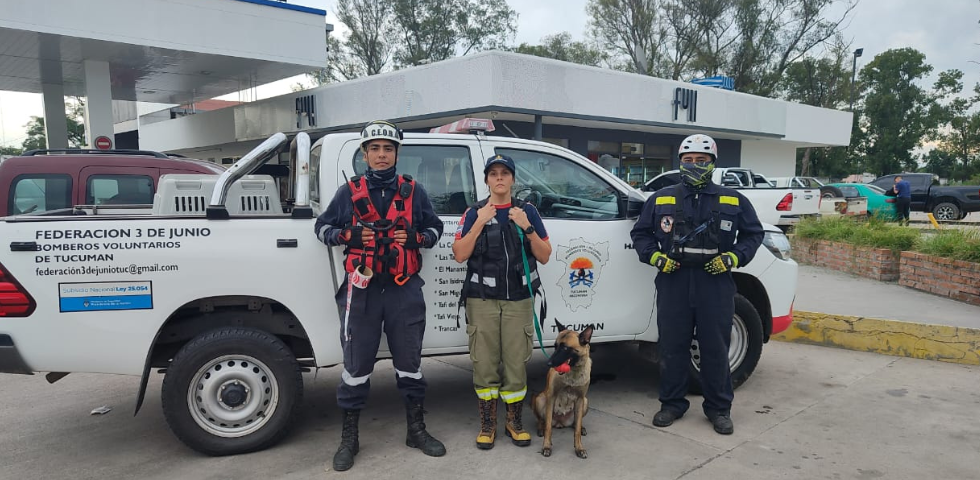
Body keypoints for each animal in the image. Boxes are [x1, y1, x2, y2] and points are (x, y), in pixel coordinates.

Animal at [532, 318, 592, 458]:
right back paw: (540, 428)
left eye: (565, 348)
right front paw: (546, 446)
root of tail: (560, 423)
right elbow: (548, 427)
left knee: (576, 422)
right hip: (540, 399)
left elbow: (576, 431)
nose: (549, 363)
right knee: (542, 421)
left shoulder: (580, 399)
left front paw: (579, 448)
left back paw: (580, 427)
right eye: (555, 346)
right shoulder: (551, 396)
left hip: (585, 402)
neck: (573, 373)